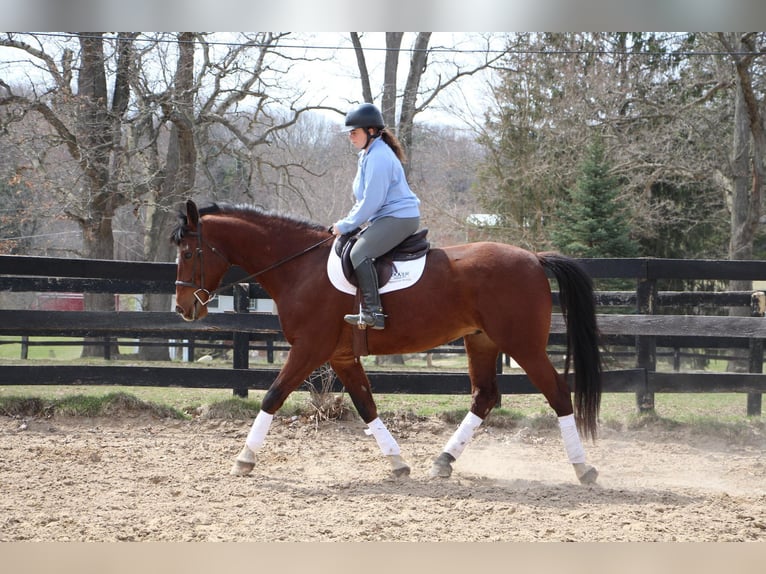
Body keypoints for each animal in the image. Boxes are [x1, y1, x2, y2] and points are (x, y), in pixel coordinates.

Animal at [174, 201, 608, 486]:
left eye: (190, 252)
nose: (183, 308)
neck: (299, 267)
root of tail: (534, 258)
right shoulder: (341, 356)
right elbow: (366, 405)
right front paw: (398, 463)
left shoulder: (309, 349)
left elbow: (272, 396)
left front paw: (244, 459)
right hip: (482, 342)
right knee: (484, 397)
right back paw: (443, 461)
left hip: (524, 345)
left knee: (558, 393)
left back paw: (584, 468)